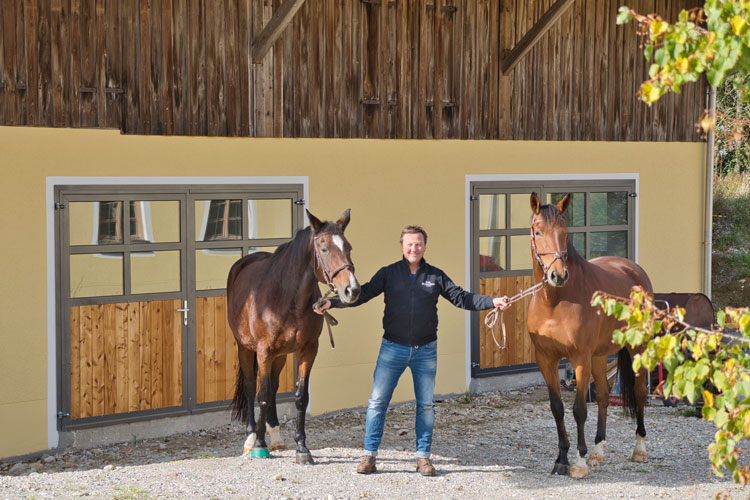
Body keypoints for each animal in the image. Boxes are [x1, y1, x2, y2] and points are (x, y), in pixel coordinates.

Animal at [226, 208, 362, 464]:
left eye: (348, 247)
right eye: (324, 248)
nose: (352, 290)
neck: (286, 298)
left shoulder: (307, 350)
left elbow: (299, 397)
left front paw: (302, 448)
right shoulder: (263, 351)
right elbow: (261, 394)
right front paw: (259, 445)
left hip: (280, 356)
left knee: (273, 386)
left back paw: (276, 436)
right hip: (245, 348)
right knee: (251, 387)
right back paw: (251, 438)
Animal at [528, 193, 652, 478]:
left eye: (564, 232)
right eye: (538, 232)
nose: (558, 275)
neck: (555, 302)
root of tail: (634, 270)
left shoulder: (580, 359)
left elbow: (579, 410)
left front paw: (579, 462)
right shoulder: (546, 359)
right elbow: (558, 408)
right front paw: (562, 459)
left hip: (636, 349)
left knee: (639, 393)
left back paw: (639, 449)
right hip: (599, 355)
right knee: (604, 395)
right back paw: (598, 451)